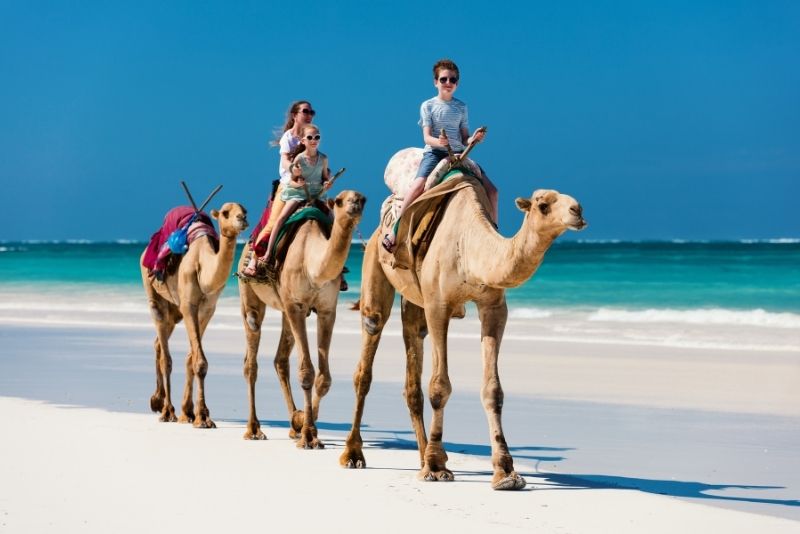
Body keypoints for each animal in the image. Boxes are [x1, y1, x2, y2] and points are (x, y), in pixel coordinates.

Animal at [141, 203, 247, 430]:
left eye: (245, 210)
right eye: (225, 213)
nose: (242, 219)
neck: (203, 265)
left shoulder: (208, 308)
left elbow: (192, 358)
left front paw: (189, 413)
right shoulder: (189, 305)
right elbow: (199, 361)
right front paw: (202, 417)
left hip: (174, 311)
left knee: (158, 343)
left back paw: (157, 401)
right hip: (154, 296)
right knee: (165, 356)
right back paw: (167, 411)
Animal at [236, 191, 364, 450]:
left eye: (362, 199)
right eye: (340, 200)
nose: (355, 204)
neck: (310, 261)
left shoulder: (327, 309)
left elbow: (324, 378)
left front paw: (304, 423)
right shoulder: (296, 306)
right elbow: (306, 372)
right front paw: (308, 436)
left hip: (286, 310)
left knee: (280, 359)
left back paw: (293, 423)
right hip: (250, 295)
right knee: (251, 358)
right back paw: (254, 429)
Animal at [340, 156, 588, 490]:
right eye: (542, 204)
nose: (578, 210)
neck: (470, 246)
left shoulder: (493, 307)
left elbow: (493, 390)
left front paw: (505, 472)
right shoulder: (438, 306)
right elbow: (439, 386)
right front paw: (435, 468)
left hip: (414, 302)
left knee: (412, 349)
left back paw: (422, 455)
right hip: (375, 268)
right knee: (368, 346)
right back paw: (355, 454)